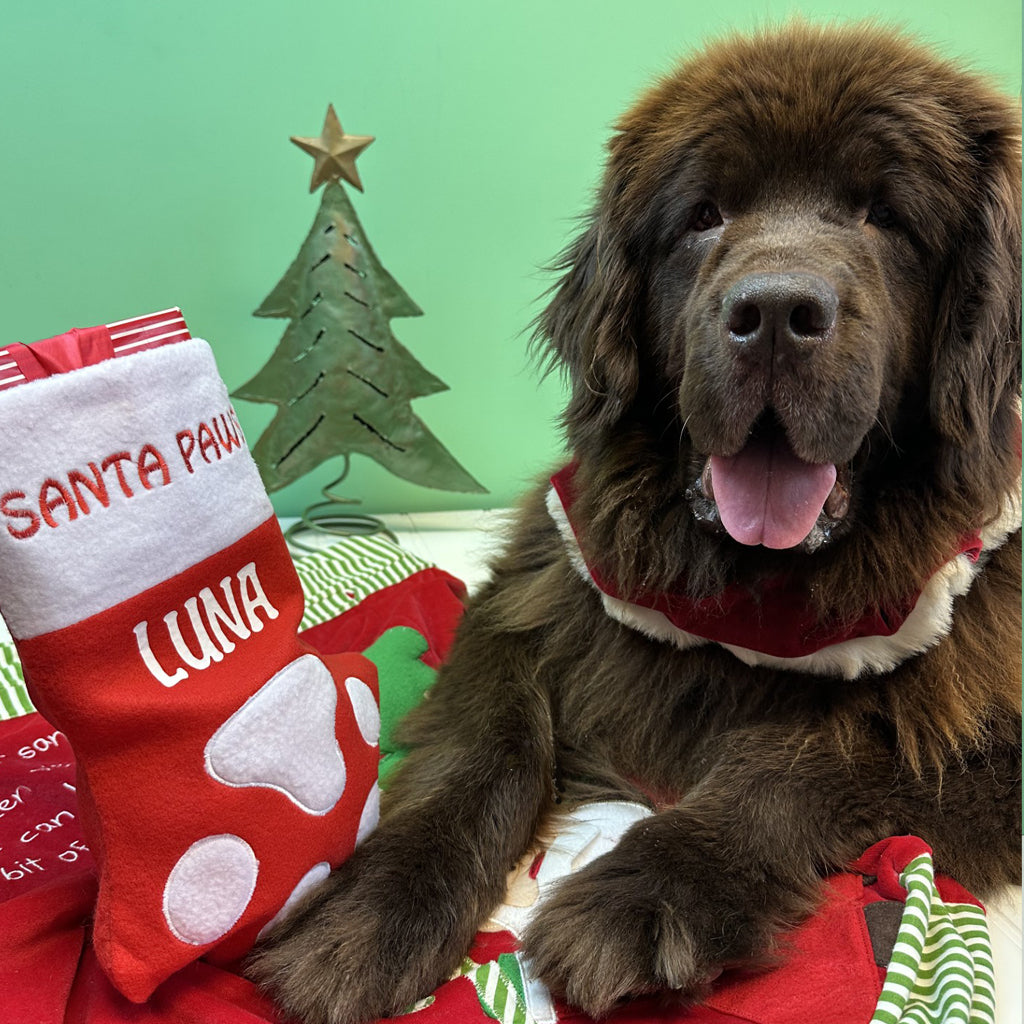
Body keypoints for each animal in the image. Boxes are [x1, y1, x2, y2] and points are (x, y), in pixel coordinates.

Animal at [251, 24, 1019, 1024]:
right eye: (703, 216)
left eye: (885, 217)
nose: (775, 312)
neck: (745, 591)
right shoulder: (524, 599)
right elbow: (491, 745)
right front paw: (370, 913)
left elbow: (808, 760)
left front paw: (649, 893)